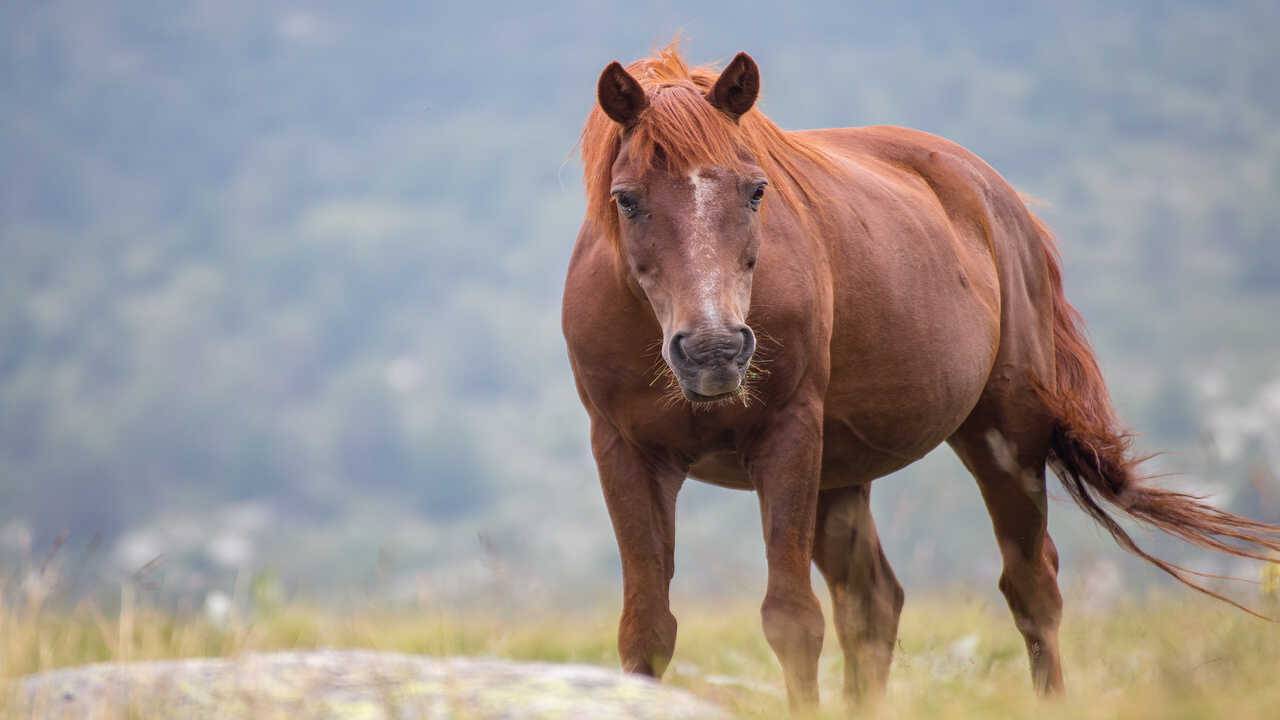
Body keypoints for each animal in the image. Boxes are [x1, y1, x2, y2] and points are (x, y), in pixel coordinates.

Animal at [560, 43, 1280, 707]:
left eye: (755, 190)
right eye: (627, 200)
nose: (714, 351)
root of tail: (1001, 199)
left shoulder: (786, 439)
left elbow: (791, 621)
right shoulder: (624, 452)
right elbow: (648, 629)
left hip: (1003, 437)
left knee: (1031, 588)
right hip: (841, 474)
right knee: (873, 607)